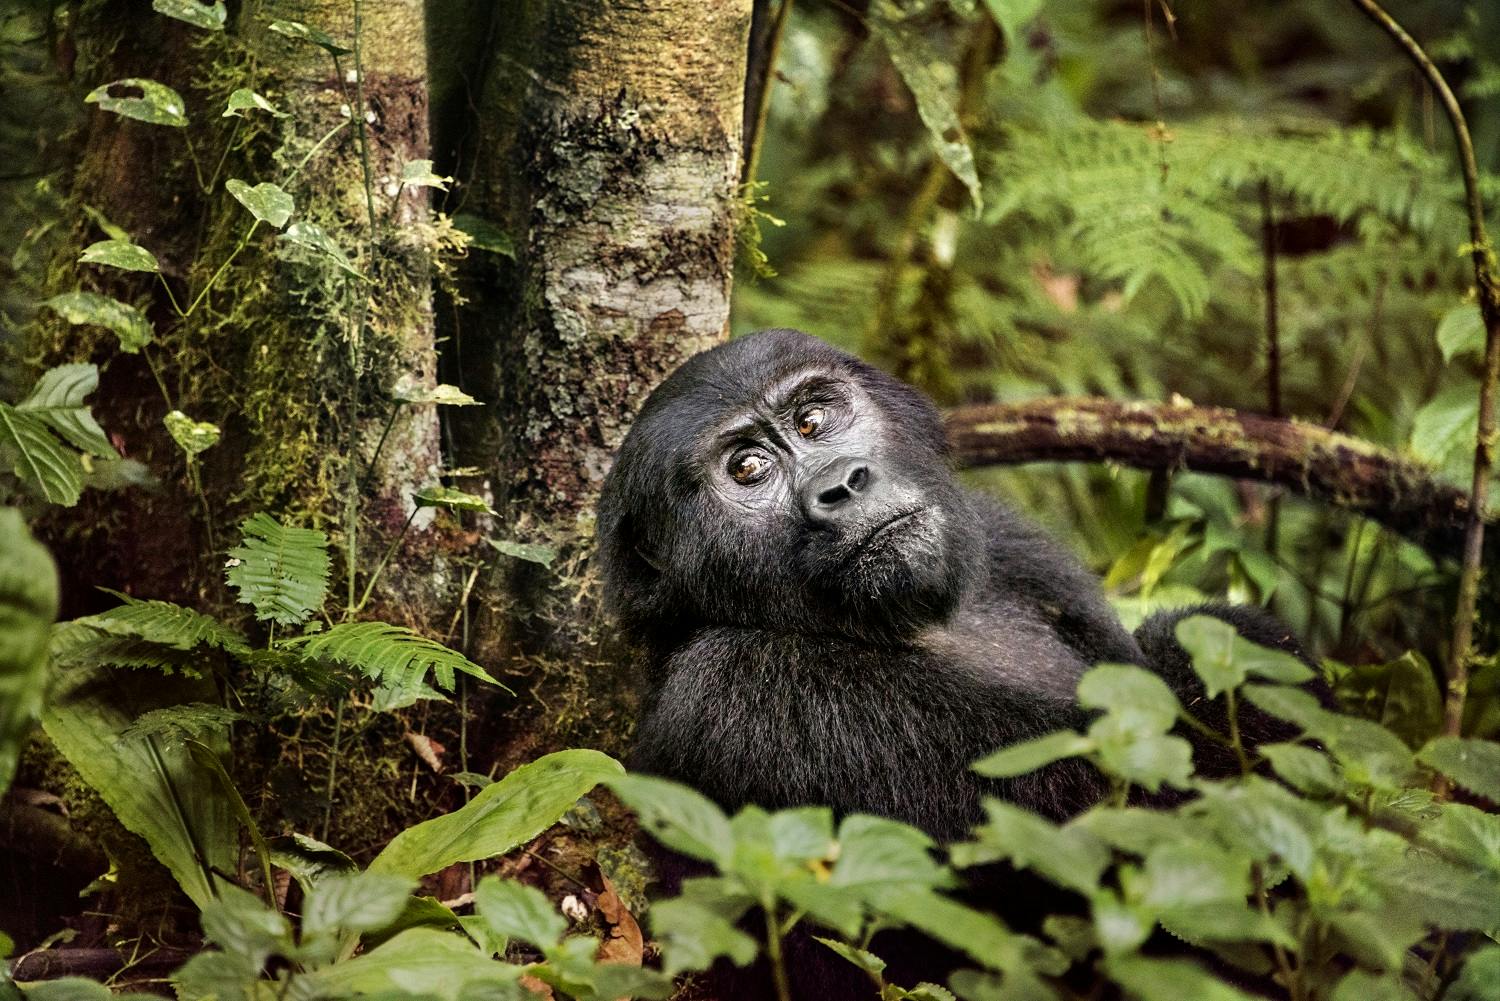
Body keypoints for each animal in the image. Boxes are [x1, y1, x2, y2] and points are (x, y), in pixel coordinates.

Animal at [597, 330, 1314, 996]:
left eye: (812, 420)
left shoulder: (1011, 544)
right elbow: (1153, 814)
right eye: (747, 468)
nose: (842, 484)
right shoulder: (739, 688)